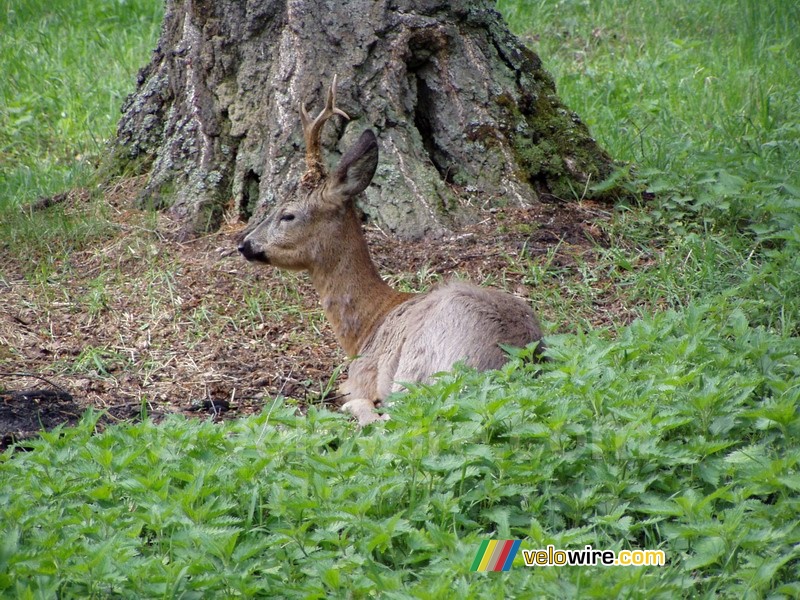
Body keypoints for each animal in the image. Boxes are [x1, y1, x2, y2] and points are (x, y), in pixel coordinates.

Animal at [238, 77, 548, 426]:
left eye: (287, 215)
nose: (245, 244)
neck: (367, 327)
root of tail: (507, 364)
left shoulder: (363, 372)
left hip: (420, 364)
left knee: (393, 417)